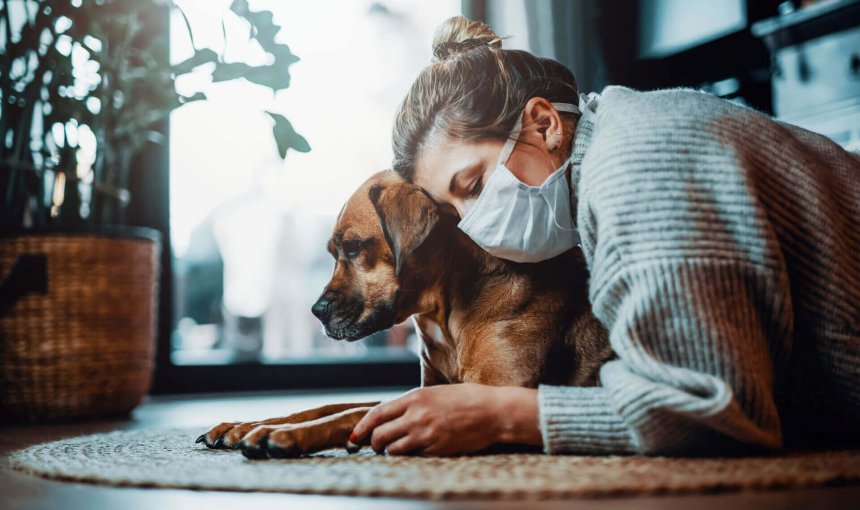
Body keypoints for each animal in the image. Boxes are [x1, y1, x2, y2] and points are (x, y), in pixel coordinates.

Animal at [197, 170, 608, 458]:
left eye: (353, 247)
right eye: (333, 252)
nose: (316, 311)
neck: (447, 312)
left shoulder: (495, 397)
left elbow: (354, 412)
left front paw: (280, 434)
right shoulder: (433, 390)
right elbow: (335, 405)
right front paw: (245, 424)